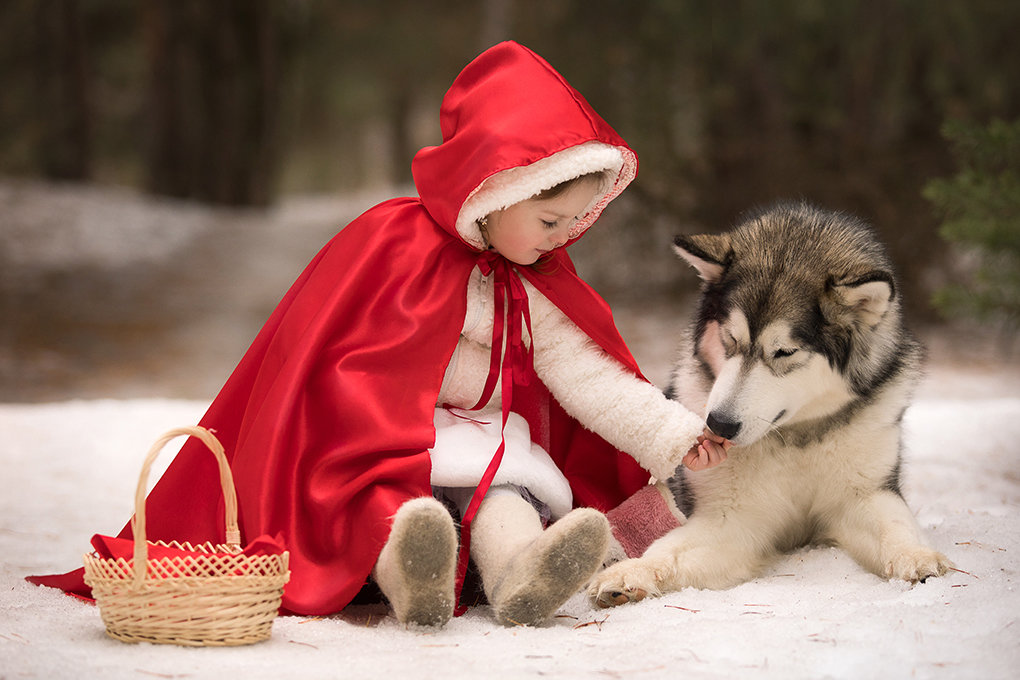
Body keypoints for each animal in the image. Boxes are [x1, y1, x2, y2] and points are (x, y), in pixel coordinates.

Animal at [587, 199, 950, 607]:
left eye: (784, 352)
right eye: (730, 339)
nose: (719, 425)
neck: (795, 438)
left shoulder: (866, 493)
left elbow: (896, 525)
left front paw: (915, 556)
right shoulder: (733, 518)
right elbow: (670, 549)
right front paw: (635, 571)